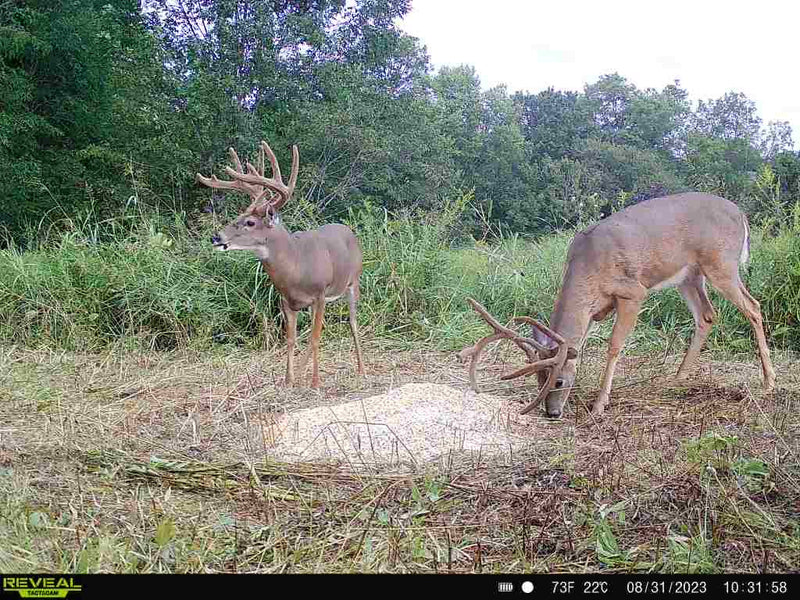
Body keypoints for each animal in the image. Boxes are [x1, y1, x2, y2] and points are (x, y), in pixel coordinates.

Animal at [196, 140, 366, 389]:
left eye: (250, 222)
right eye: (238, 216)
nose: (216, 237)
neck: (296, 268)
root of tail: (348, 230)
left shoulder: (320, 293)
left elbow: (315, 338)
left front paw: (315, 382)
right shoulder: (286, 300)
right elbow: (292, 339)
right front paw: (289, 380)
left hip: (353, 282)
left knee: (353, 323)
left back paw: (361, 369)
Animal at [458, 192, 776, 418]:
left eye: (558, 382)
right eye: (538, 379)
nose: (552, 413)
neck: (587, 266)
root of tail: (741, 214)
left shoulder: (632, 292)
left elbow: (614, 345)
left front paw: (600, 404)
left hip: (721, 264)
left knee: (753, 307)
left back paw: (769, 381)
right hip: (689, 275)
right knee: (707, 315)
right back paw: (676, 379)